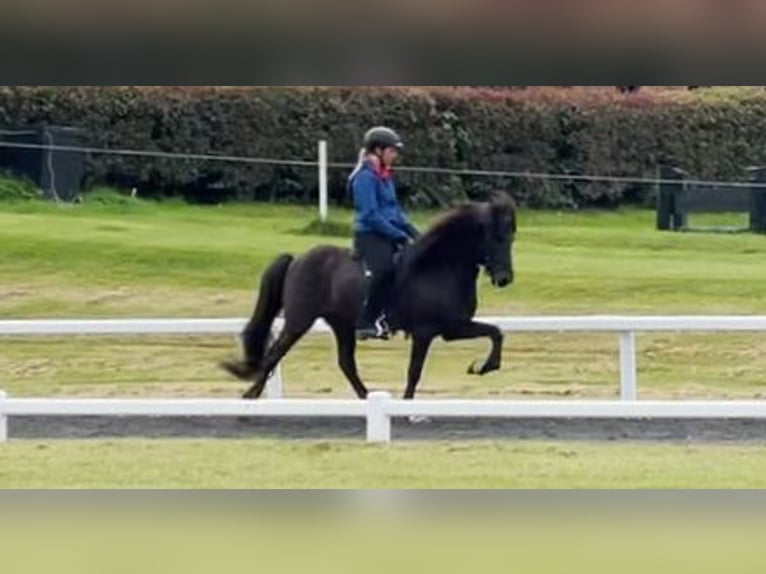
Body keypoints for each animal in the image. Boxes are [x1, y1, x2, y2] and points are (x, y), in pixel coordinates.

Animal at [221, 191, 516, 400]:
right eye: (497, 237)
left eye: (511, 237)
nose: (505, 279)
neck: (440, 266)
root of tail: (298, 260)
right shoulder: (428, 331)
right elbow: (414, 372)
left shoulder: (452, 328)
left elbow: (496, 332)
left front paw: (483, 367)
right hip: (299, 321)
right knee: (275, 354)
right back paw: (249, 397)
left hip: (341, 324)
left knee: (346, 363)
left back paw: (366, 398)